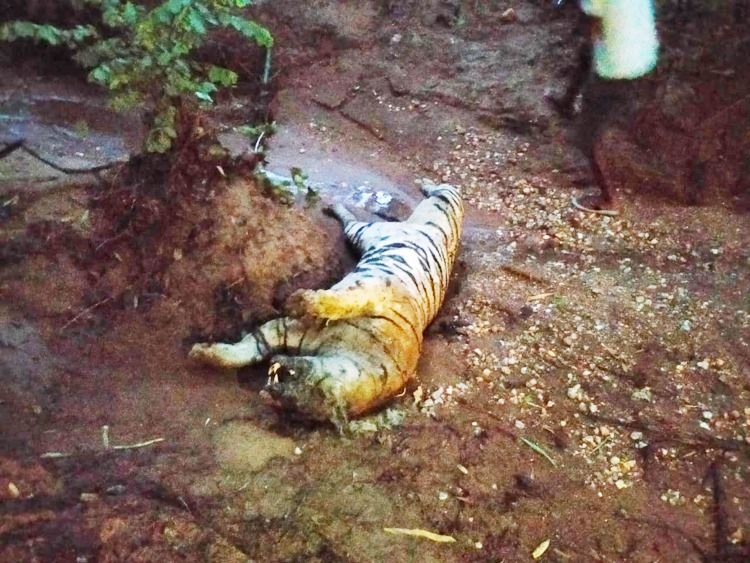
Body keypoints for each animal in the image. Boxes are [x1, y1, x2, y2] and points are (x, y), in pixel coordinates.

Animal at [189, 179, 464, 424]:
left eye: (295, 409)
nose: (269, 392)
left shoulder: (291, 330)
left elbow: (253, 345)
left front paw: (205, 353)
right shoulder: (375, 294)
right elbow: (338, 300)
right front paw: (299, 300)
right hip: (375, 231)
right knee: (441, 191)